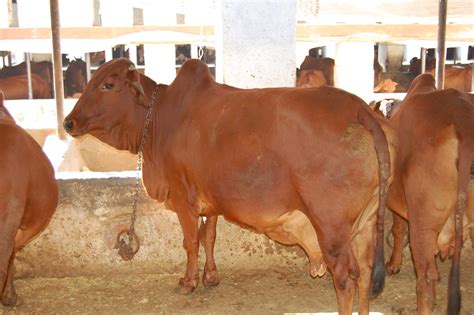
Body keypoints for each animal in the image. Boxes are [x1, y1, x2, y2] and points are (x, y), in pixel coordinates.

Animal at [64, 58, 396, 314]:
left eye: (107, 85)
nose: (68, 122)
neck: (158, 119)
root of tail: (359, 110)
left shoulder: (183, 199)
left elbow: (191, 242)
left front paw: (188, 282)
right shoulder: (210, 200)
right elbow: (209, 237)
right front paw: (210, 277)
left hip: (332, 228)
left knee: (345, 278)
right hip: (366, 225)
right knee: (365, 273)